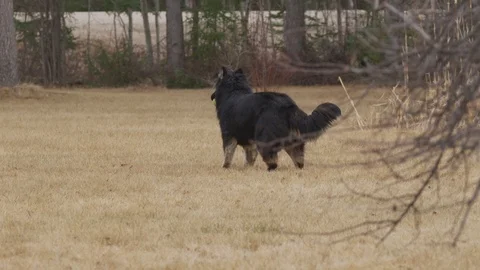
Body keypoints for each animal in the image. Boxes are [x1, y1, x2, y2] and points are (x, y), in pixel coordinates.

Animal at [210, 66, 342, 171]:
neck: (234, 90)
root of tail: (289, 105)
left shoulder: (228, 135)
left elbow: (228, 153)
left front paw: (225, 167)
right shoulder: (249, 142)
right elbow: (249, 157)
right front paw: (247, 168)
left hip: (264, 138)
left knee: (272, 160)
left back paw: (269, 169)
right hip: (293, 141)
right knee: (299, 160)